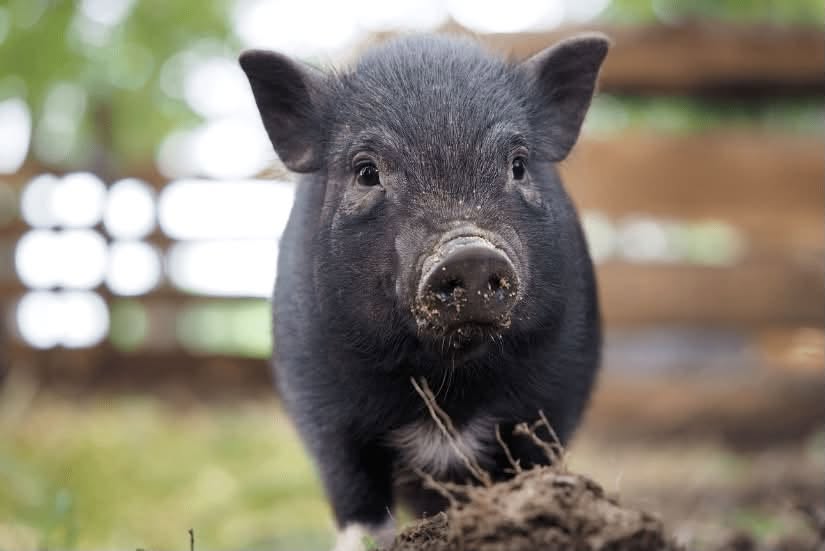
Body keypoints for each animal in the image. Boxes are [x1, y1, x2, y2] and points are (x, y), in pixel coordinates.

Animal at [240, 33, 609, 550]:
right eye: (366, 172)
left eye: (518, 165)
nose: (469, 253)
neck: (446, 380)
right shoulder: (320, 401)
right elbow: (357, 501)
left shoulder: (556, 390)